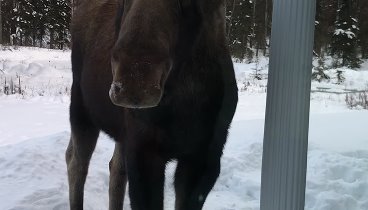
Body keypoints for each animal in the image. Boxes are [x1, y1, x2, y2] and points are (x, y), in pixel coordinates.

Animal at [66, 0, 239, 208]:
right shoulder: (143, 150)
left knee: (114, 168)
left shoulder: (205, 157)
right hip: (81, 109)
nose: (135, 81)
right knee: (76, 163)